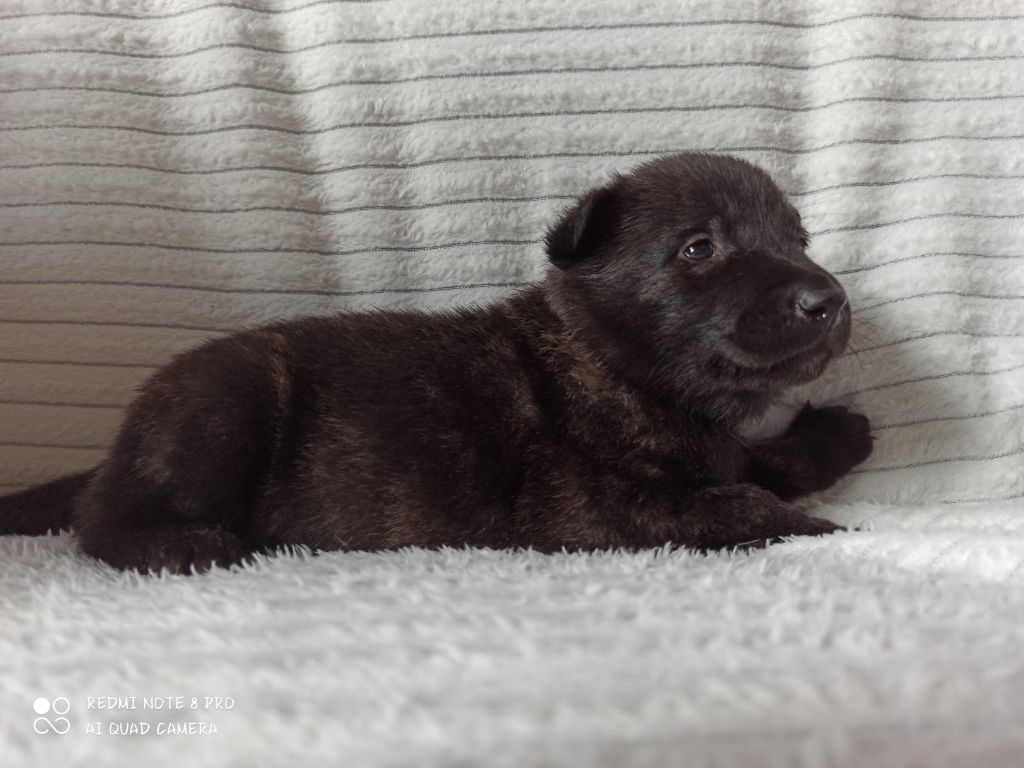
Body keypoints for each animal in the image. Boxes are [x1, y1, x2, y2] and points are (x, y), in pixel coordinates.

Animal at [0, 153, 873, 573]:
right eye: (699, 248)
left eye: (798, 241)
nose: (827, 300)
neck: (621, 365)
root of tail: (115, 450)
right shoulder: (599, 508)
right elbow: (738, 501)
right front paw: (832, 530)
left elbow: (758, 464)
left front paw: (837, 435)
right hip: (221, 405)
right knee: (99, 517)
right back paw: (183, 546)